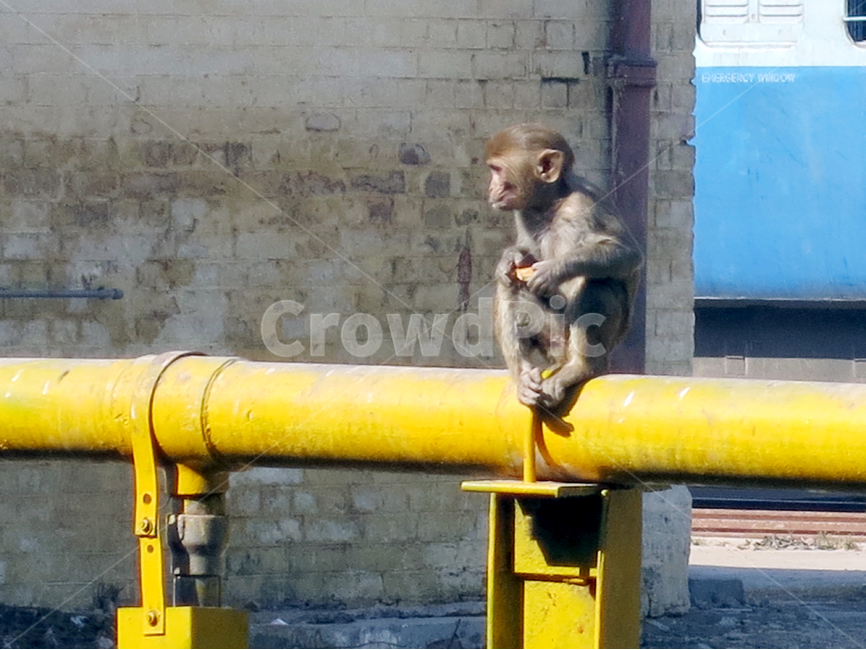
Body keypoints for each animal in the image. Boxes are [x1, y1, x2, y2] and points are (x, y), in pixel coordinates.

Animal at [487, 123, 641, 414]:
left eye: (498, 170)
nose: (491, 188)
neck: (552, 204)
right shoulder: (525, 212)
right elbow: (522, 258)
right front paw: (510, 258)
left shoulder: (583, 204)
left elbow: (626, 253)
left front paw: (554, 270)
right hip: (551, 338)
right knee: (510, 286)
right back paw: (523, 375)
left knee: (598, 284)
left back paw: (580, 367)